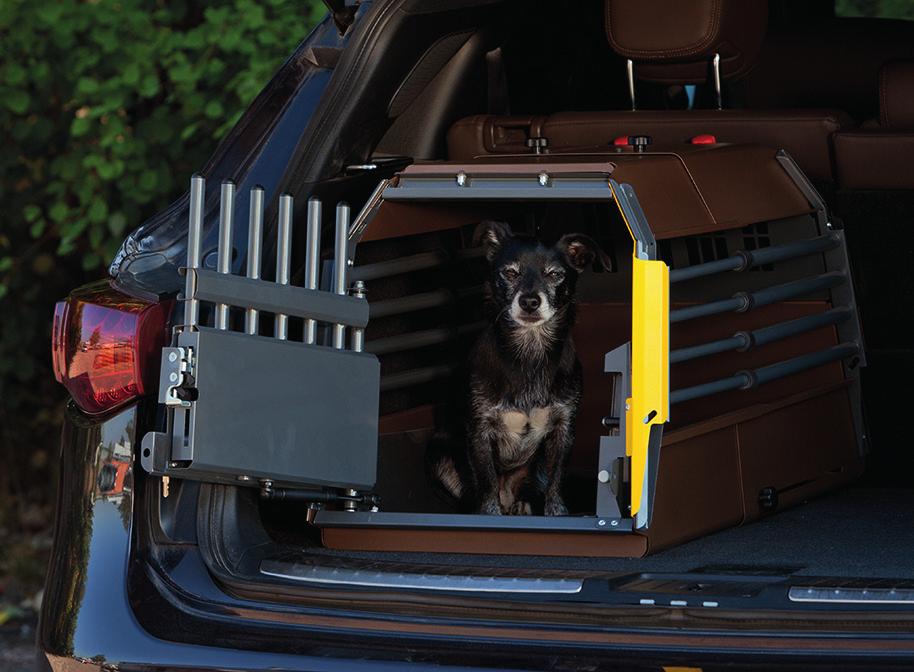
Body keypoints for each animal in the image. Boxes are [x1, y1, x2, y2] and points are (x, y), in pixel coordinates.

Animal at [430, 220, 612, 516]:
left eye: (554, 274)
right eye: (510, 272)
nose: (529, 301)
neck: (530, 352)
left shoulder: (563, 430)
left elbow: (556, 485)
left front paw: (557, 515)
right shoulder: (479, 433)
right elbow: (487, 486)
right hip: (438, 457)